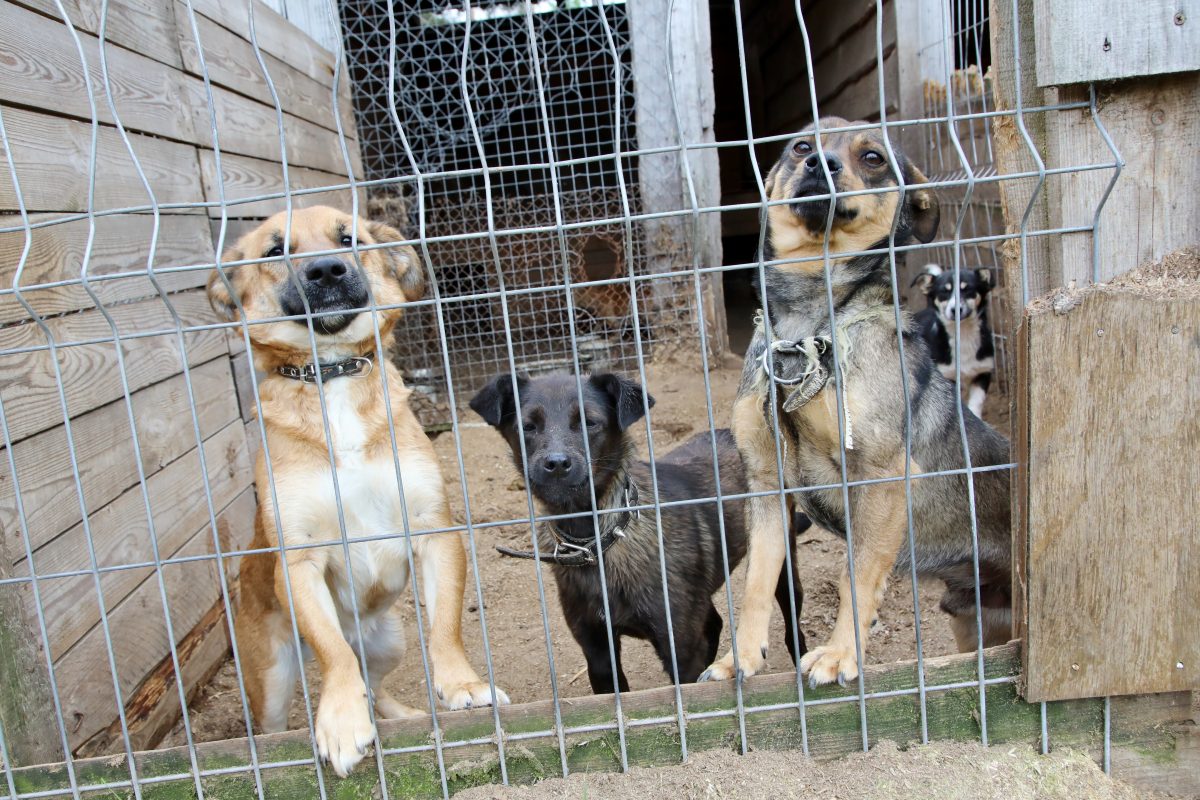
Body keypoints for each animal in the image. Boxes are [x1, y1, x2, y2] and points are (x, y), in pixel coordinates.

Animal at [208, 206, 508, 777]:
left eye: (350, 239)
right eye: (274, 250)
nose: (327, 269)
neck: (333, 376)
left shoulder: (435, 530)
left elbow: (445, 629)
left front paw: (462, 683)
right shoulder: (299, 560)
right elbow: (334, 656)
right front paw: (341, 721)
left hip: (388, 642)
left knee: (377, 684)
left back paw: (403, 714)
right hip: (272, 678)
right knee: (290, 710)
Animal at [468, 371, 806, 690]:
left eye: (589, 422)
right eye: (527, 426)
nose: (557, 464)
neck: (597, 539)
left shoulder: (680, 648)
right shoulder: (598, 653)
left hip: (780, 562)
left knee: (790, 620)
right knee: (714, 622)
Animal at [912, 266, 998, 422]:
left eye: (967, 289)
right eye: (944, 292)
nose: (955, 309)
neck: (963, 334)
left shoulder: (983, 372)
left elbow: (976, 402)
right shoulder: (947, 376)